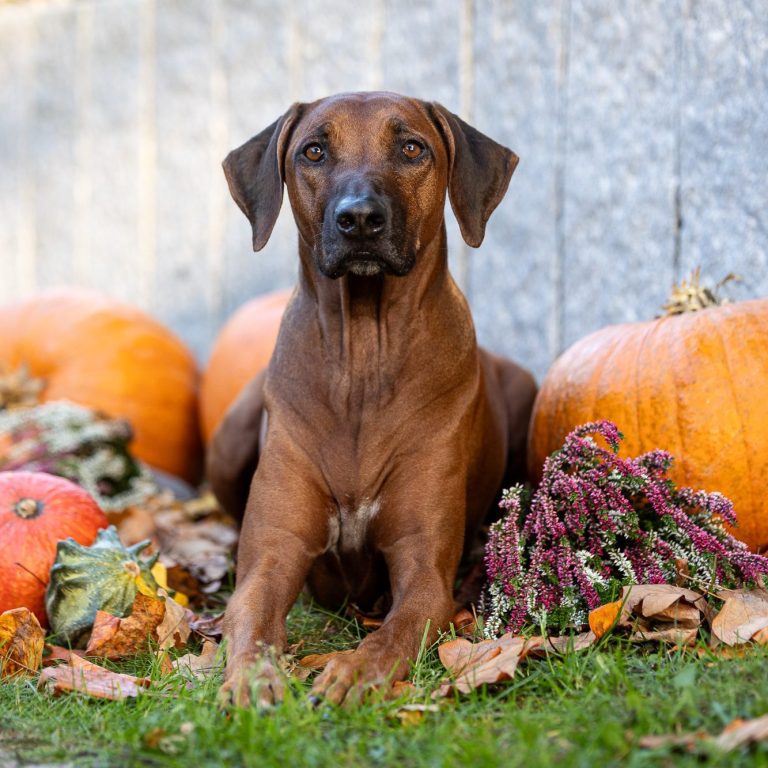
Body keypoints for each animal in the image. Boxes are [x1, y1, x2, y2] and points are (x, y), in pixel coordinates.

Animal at [207, 91, 536, 708]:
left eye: (412, 148)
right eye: (314, 151)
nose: (359, 217)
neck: (362, 355)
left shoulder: (424, 570)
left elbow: (399, 627)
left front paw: (354, 671)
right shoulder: (274, 552)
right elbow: (253, 615)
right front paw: (253, 679)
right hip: (229, 438)